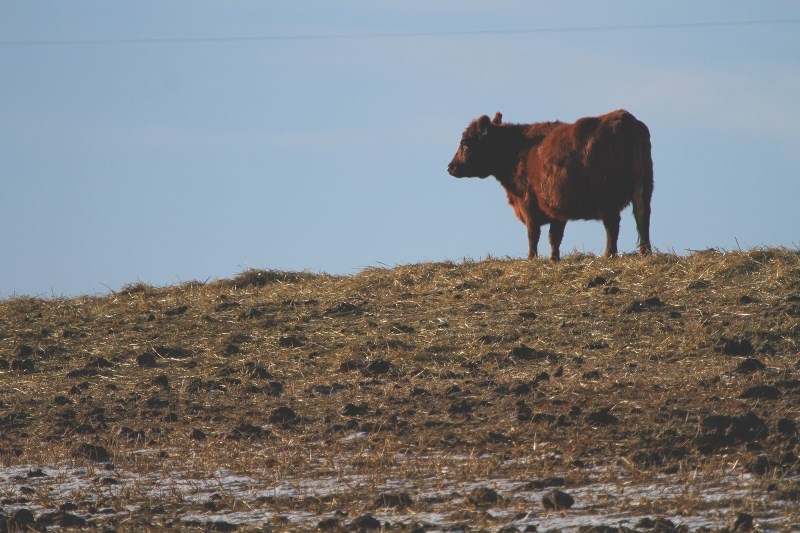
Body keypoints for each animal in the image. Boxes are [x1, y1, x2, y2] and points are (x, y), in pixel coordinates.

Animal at [446, 109, 652, 260]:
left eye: (465, 143)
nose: (450, 167)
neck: (520, 148)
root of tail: (625, 116)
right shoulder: (556, 210)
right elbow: (555, 237)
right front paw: (554, 259)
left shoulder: (528, 203)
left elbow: (533, 234)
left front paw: (532, 258)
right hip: (645, 190)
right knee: (643, 217)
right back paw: (645, 251)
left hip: (607, 197)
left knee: (612, 224)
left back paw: (609, 254)